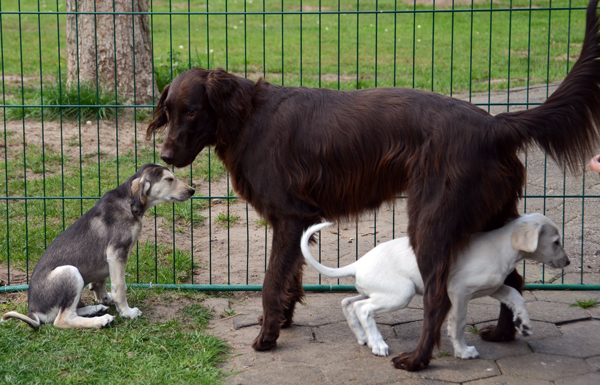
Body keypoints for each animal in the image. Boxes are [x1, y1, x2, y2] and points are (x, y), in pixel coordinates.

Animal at [1, 164, 195, 328]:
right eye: (169, 179)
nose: (192, 190)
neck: (128, 203)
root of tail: (33, 311)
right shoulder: (116, 253)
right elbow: (120, 287)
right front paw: (127, 312)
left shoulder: (107, 259)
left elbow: (101, 280)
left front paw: (104, 299)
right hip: (70, 272)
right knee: (62, 319)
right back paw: (101, 321)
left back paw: (95, 310)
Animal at [302, 213, 568, 356]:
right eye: (556, 242)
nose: (568, 262)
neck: (501, 248)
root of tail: (358, 263)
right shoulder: (459, 291)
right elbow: (458, 323)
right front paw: (463, 351)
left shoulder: (494, 288)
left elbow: (515, 295)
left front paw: (524, 324)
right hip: (401, 293)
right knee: (363, 309)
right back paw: (378, 344)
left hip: (379, 291)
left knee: (348, 302)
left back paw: (363, 337)